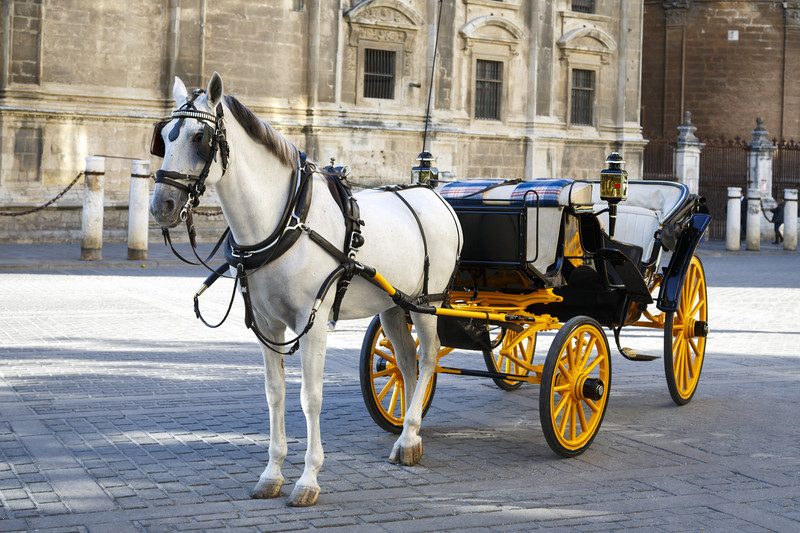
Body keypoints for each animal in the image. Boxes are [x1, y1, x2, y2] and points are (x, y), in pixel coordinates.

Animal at [149, 73, 462, 507]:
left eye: (200, 137)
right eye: (164, 136)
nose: (160, 206)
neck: (285, 221)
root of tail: (434, 196)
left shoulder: (311, 325)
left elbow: (310, 397)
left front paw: (308, 479)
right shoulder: (266, 325)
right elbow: (275, 394)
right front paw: (272, 473)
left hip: (425, 303)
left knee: (429, 356)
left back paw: (409, 434)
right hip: (392, 306)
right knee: (406, 362)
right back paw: (409, 435)